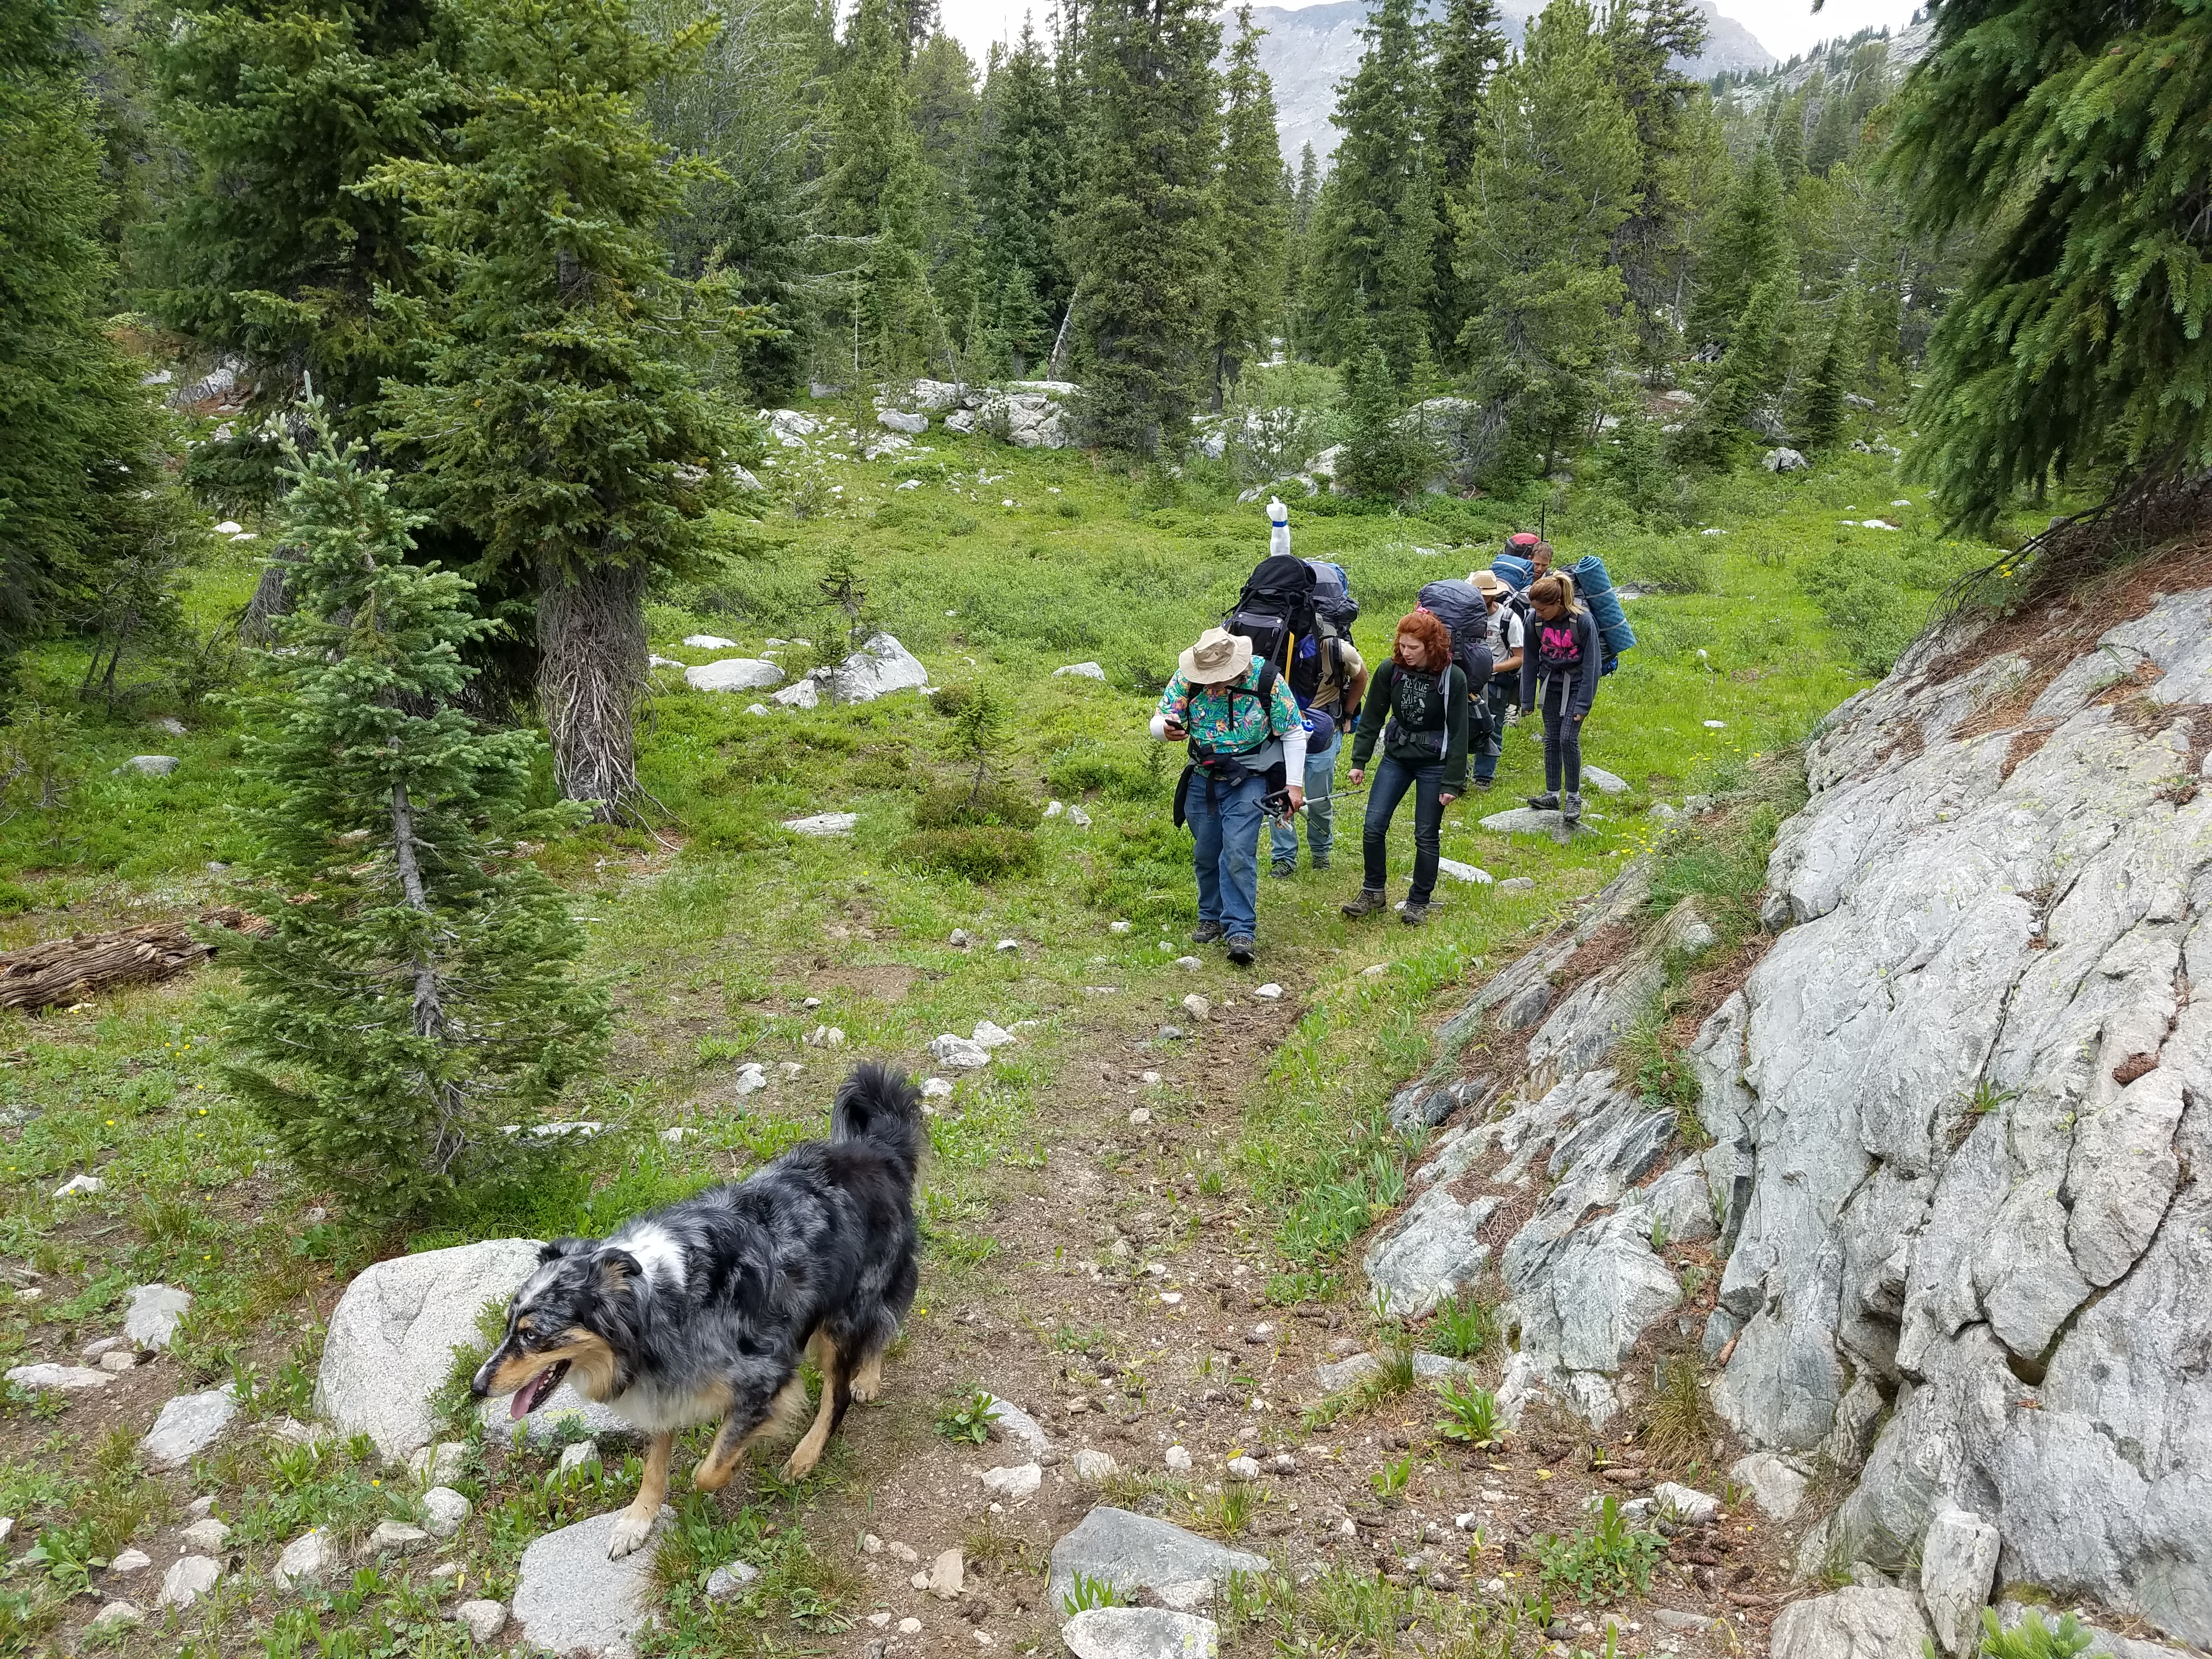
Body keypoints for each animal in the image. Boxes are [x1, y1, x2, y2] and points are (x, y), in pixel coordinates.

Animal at [475, 1066, 924, 1557]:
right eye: (507, 1328)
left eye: (532, 1335)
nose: (477, 1387)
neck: (654, 1301)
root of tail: (876, 1149)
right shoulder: (665, 1383)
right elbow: (655, 1463)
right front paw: (637, 1520)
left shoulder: (764, 1374)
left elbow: (707, 1471)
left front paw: (737, 1457)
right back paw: (867, 1378)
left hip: (846, 1311)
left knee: (843, 1383)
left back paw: (812, 1446)